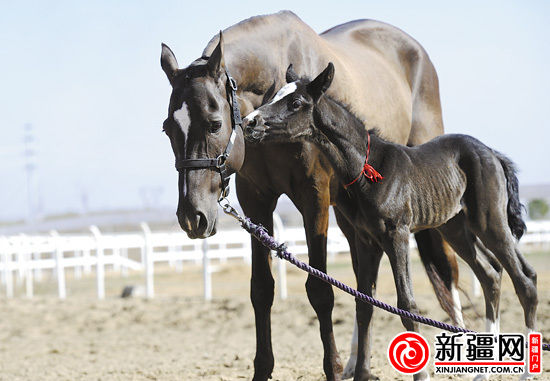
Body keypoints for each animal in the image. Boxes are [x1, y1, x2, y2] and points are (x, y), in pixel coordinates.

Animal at [161, 10, 462, 378]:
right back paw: (359, 366)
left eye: (215, 123)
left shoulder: (314, 197)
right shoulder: (256, 200)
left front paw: (331, 368)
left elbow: (320, 289)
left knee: (447, 269)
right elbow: (261, 289)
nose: (193, 216)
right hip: (354, 218)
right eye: (168, 128)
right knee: (366, 287)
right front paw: (263, 369)